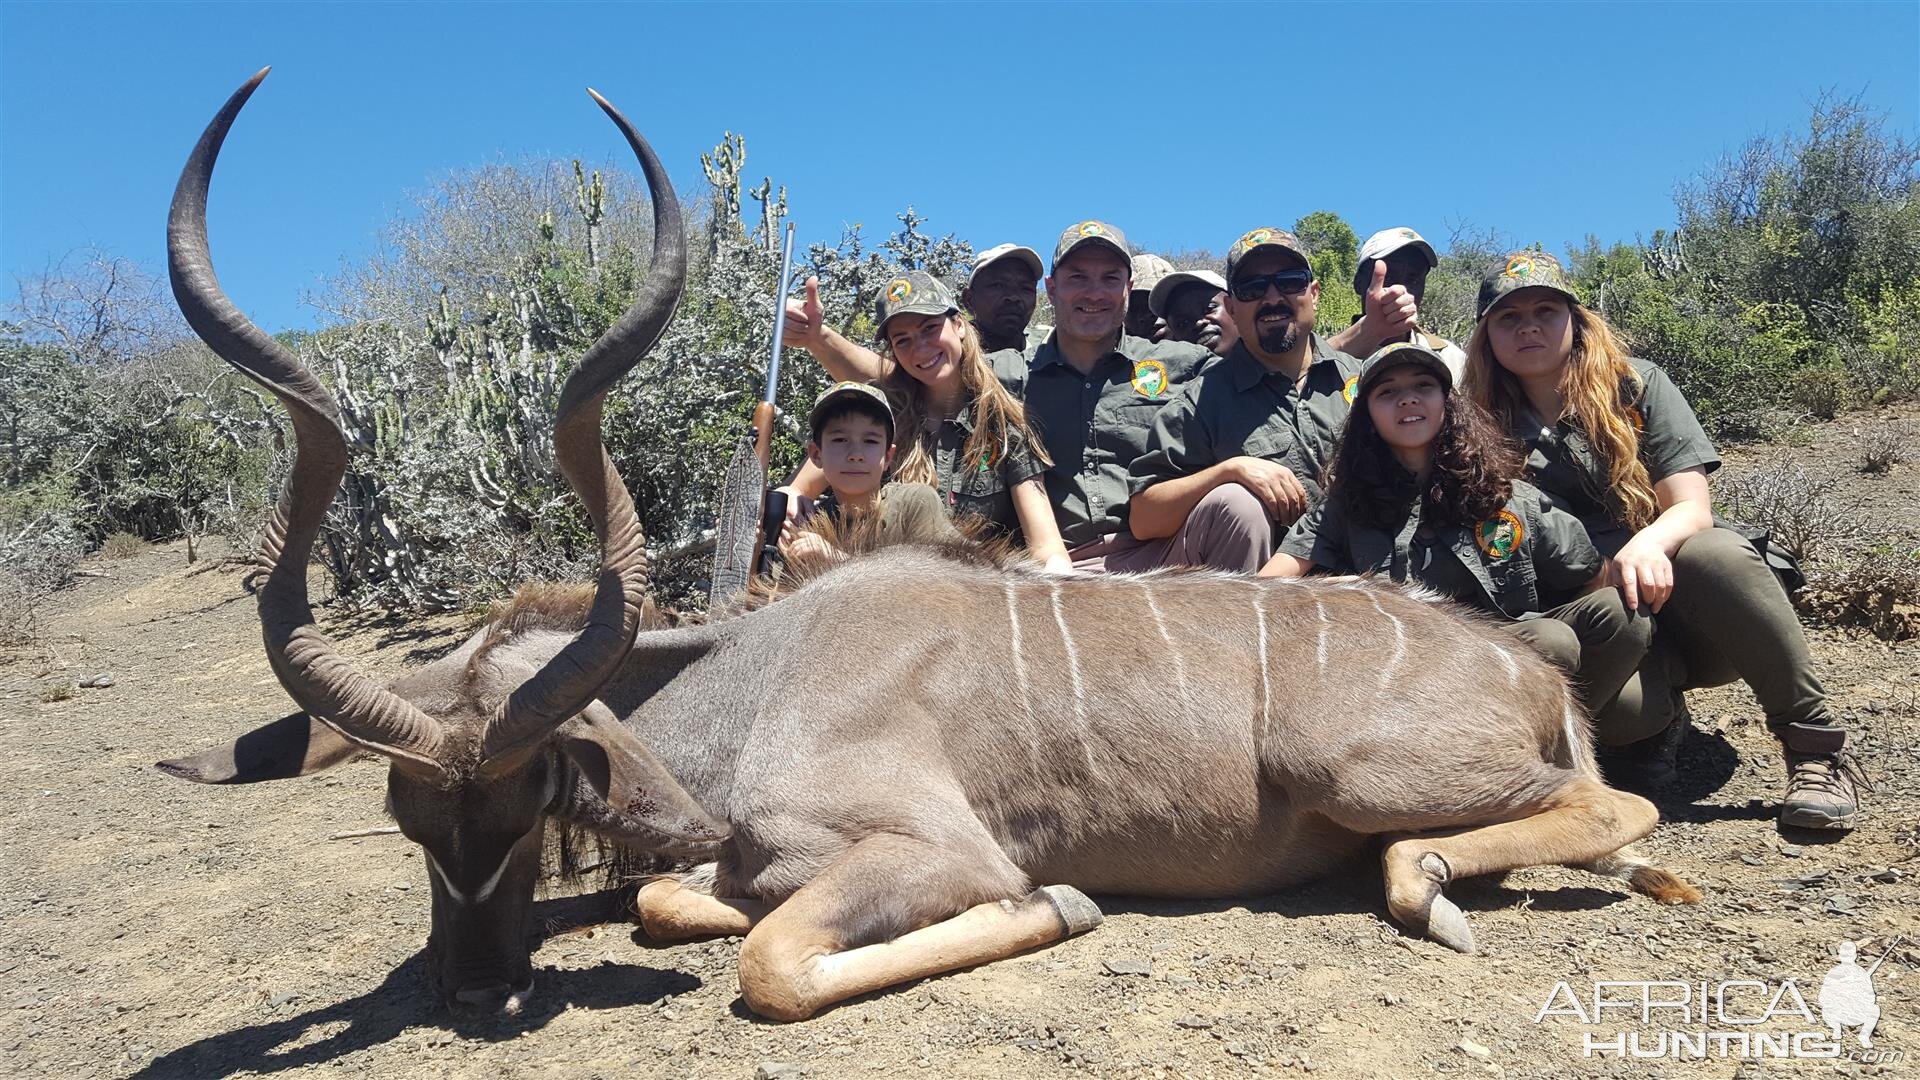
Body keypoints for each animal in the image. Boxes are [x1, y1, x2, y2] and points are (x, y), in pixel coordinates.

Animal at [161, 73, 1697, 1014]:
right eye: (407, 818)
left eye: (531, 797)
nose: (476, 985)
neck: (763, 682)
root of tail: (1528, 675)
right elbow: (673, 899)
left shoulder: (930, 851)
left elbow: (778, 959)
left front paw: (1064, 905)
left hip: (1364, 772)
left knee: (1601, 810)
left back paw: (1451, 884)